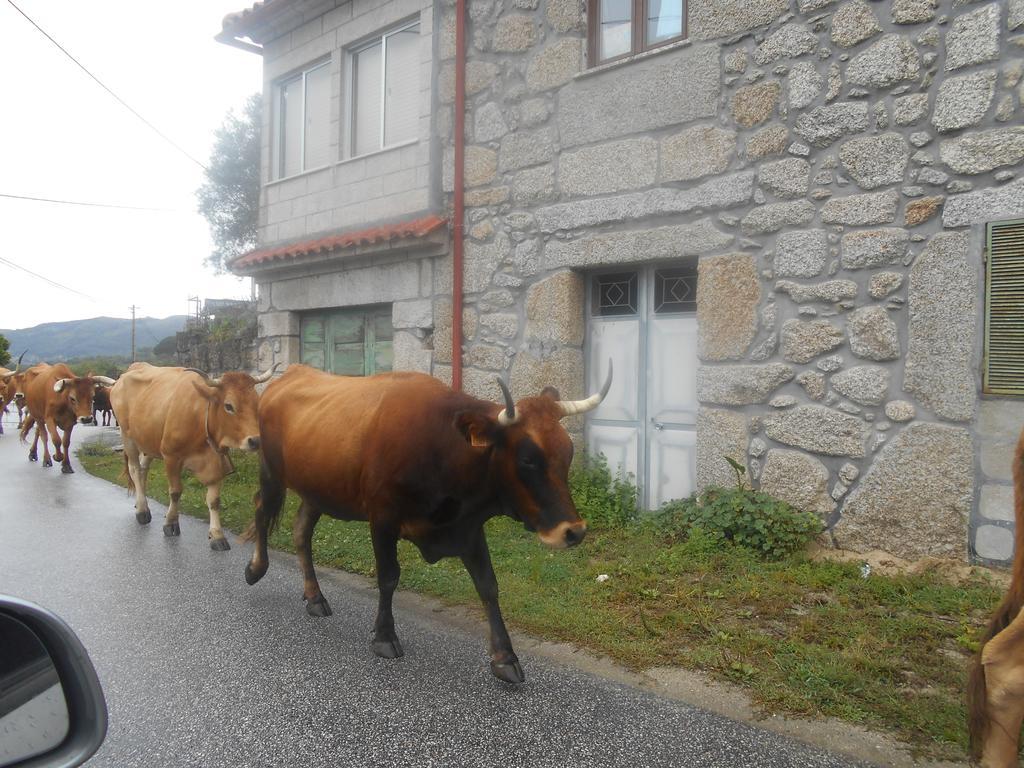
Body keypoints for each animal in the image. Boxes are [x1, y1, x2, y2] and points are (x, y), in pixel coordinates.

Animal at [243, 362, 610, 684]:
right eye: (528, 459)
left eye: (568, 452)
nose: (573, 531)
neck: (442, 446)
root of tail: (291, 373)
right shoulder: (383, 518)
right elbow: (388, 577)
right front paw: (384, 637)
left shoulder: (468, 527)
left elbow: (488, 586)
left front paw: (505, 657)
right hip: (271, 472)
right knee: (261, 510)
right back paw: (256, 568)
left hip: (317, 489)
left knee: (301, 531)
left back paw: (315, 597)